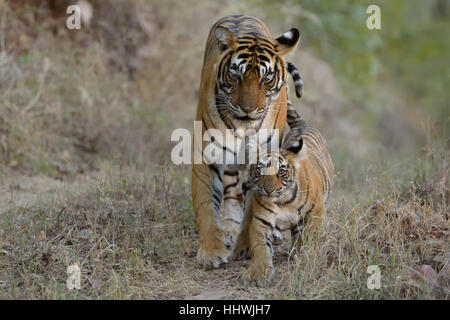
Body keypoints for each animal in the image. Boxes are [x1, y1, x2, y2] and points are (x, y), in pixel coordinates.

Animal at [191, 13, 302, 268]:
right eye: (236, 75)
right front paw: (211, 251)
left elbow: (254, 211)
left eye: (266, 78)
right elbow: (205, 205)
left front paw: (246, 247)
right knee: (231, 192)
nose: (248, 109)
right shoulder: (206, 157)